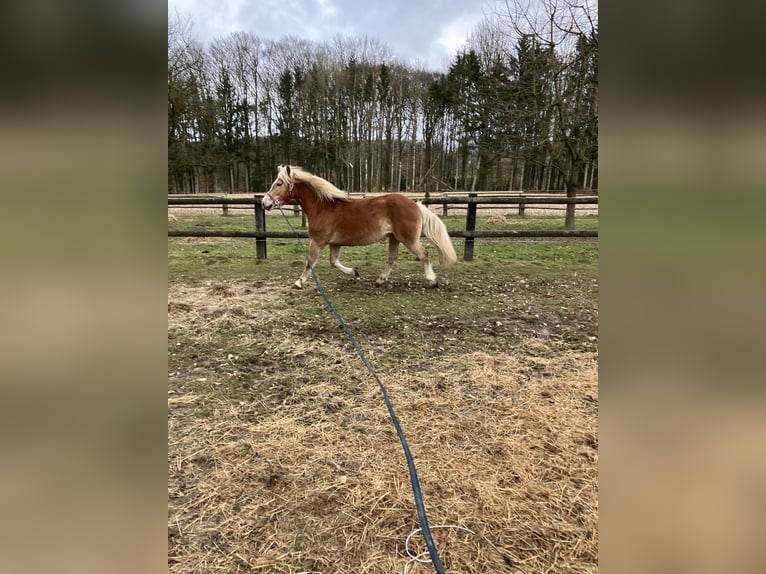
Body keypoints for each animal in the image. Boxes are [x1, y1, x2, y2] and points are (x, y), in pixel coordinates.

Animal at [260, 166, 460, 292]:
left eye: (279, 183)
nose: (264, 202)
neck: (322, 207)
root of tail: (415, 204)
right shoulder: (334, 244)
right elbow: (333, 262)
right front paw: (354, 272)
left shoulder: (317, 242)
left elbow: (310, 262)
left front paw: (298, 283)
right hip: (394, 238)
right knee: (392, 258)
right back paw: (380, 280)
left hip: (408, 239)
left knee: (423, 254)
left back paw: (432, 281)